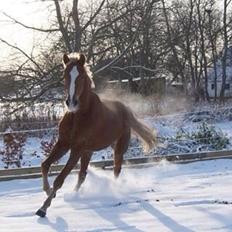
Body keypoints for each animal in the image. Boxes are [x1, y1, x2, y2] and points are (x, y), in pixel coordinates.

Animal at [35, 53, 157, 217]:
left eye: (80, 76)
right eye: (65, 75)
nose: (71, 103)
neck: (78, 115)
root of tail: (125, 109)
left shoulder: (76, 149)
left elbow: (60, 179)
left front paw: (43, 208)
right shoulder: (63, 143)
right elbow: (45, 165)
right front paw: (49, 192)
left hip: (118, 148)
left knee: (116, 169)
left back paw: (113, 190)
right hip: (90, 151)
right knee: (82, 174)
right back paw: (74, 195)